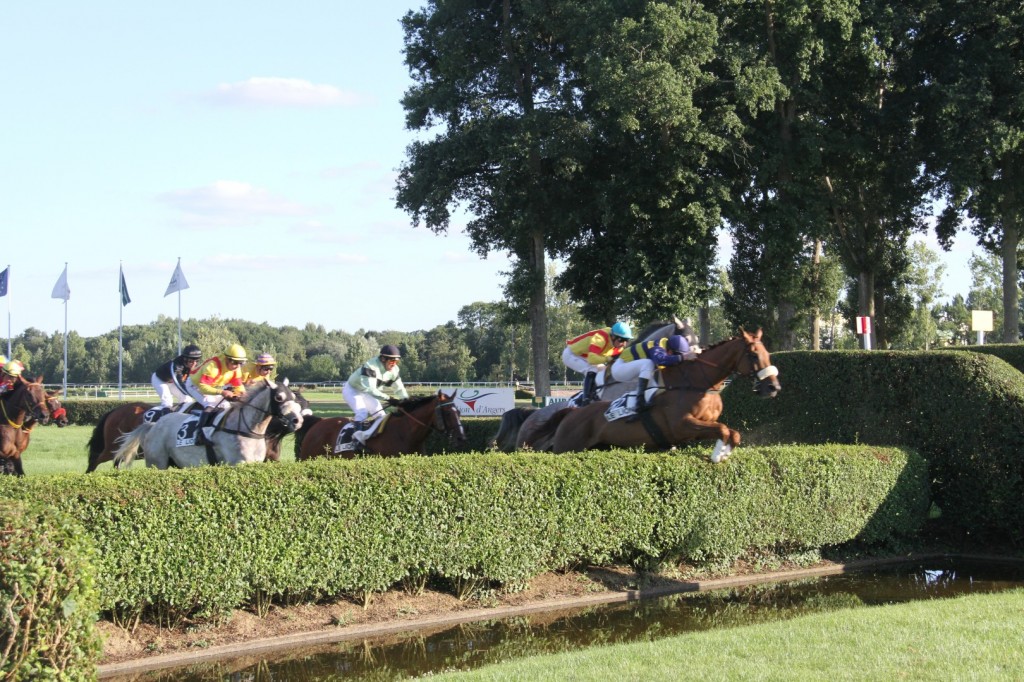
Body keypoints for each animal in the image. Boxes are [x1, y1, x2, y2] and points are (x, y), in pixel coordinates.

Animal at [536, 329, 782, 462]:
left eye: (767, 353)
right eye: (753, 354)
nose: (773, 387)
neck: (697, 383)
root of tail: (570, 413)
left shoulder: (701, 426)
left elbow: (732, 432)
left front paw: (722, 452)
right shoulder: (681, 425)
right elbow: (723, 429)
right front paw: (718, 455)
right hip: (567, 447)